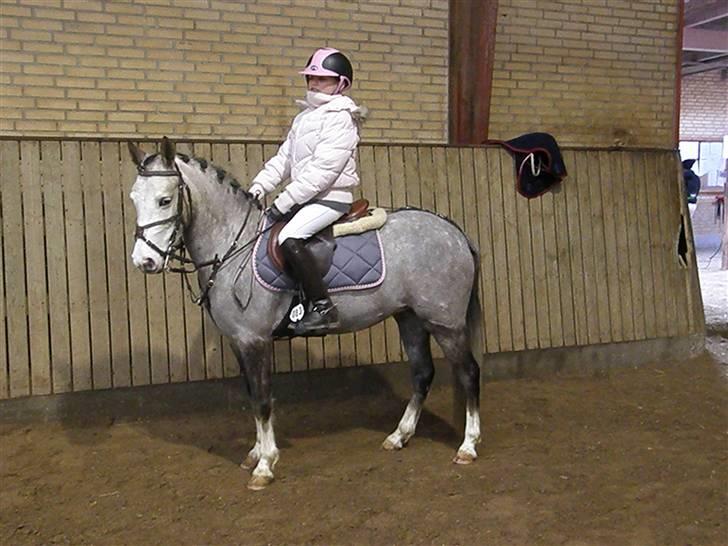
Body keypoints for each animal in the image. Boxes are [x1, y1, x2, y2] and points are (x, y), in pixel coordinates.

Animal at [127, 137, 483, 490]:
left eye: (164, 200)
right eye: (134, 198)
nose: (144, 261)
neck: (232, 244)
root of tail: (453, 231)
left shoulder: (254, 340)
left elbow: (262, 400)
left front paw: (265, 465)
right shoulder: (238, 342)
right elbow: (252, 395)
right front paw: (255, 454)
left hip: (445, 323)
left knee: (468, 372)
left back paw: (467, 446)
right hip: (409, 318)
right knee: (422, 373)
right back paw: (399, 436)